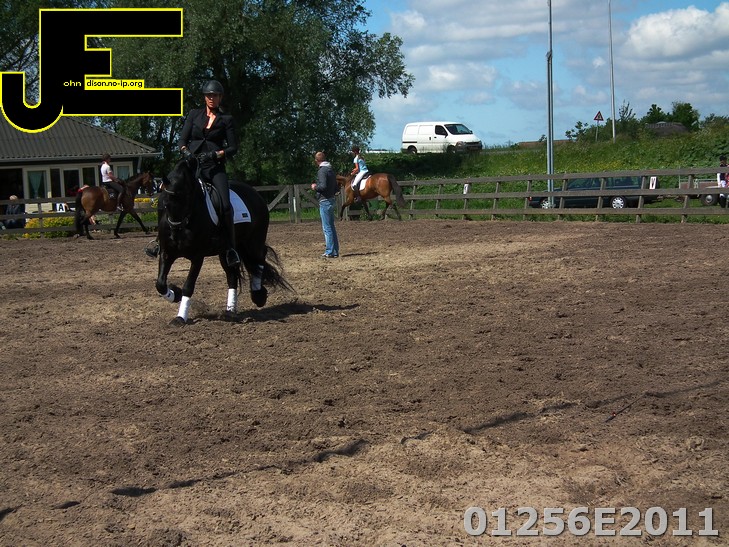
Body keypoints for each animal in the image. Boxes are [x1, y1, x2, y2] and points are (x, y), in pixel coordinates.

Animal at [155, 157, 291, 325]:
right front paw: (176, 294)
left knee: (259, 259)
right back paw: (230, 310)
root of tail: (255, 193)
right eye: (164, 203)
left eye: (187, 200)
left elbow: (189, 286)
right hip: (227, 251)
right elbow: (160, 284)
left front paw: (180, 317)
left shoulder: (197, 257)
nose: (175, 234)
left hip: (254, 241)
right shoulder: (167, 253)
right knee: (232, 275)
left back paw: (258, 296)